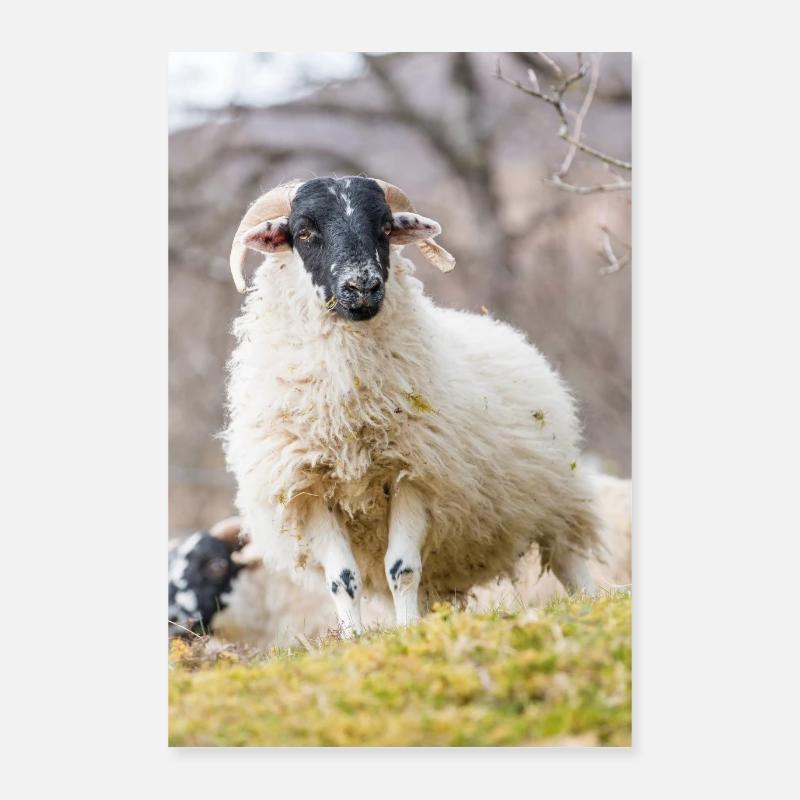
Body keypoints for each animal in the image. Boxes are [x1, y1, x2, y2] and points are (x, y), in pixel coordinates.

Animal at [223, 175, 605, 636]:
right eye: (304, 232)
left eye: (386, 227)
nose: (363, 287)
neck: (349, 413)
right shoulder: (308, 487)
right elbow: (341, 579)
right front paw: (354, 637)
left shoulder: (415, 475)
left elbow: (401, 568)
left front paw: (408, 632)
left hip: (557, 498)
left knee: (569, 557)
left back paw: (589, 603)